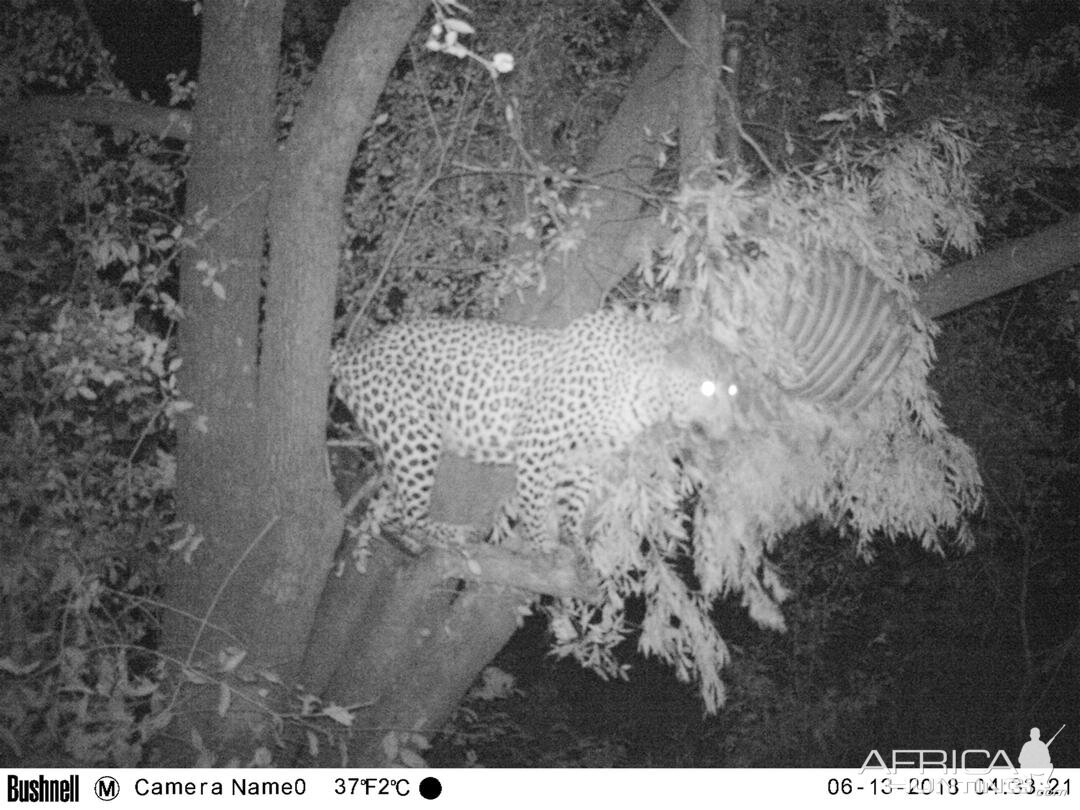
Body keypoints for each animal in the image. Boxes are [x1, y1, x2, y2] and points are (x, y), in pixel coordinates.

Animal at [328, 308, 738, 552]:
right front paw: (540, 541)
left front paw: (575, 542)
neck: (649, 399)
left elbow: (574, 501)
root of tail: (352, 351)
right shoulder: (539, 441)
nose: (728, 426)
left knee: (391, 509)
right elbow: (535, 501)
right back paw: (451, 533)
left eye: (731, 390)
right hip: (415, 434)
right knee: (408, 516)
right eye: (707, 387)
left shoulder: (584, 456)